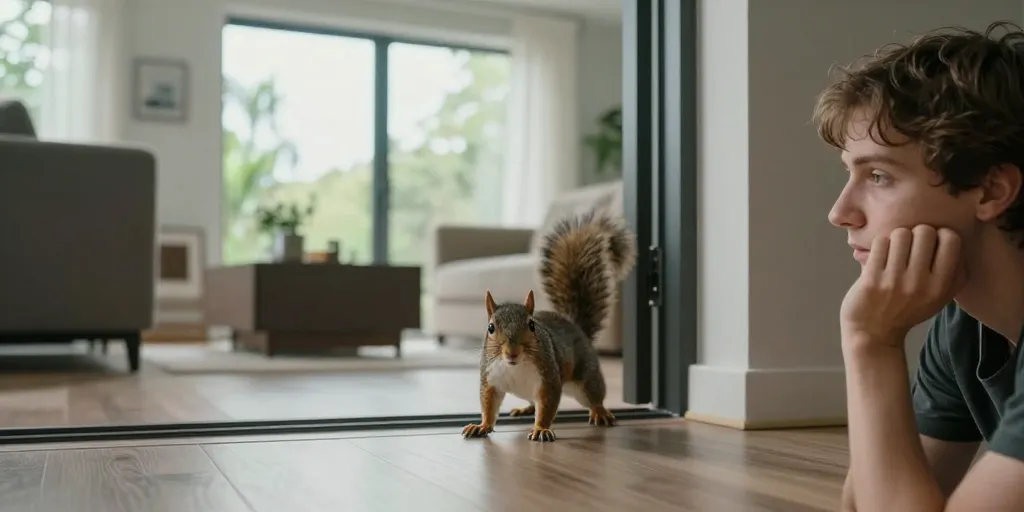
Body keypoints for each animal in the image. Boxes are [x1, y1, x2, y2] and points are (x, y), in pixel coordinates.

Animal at [461, 209, 638, 442]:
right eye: (491, 328)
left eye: (532, 325)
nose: (512, 352)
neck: (514, 366)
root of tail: (576, 328)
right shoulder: (490, 379)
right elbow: (488, 405)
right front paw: (481, 426)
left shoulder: (549, 380)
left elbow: (547, 406)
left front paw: (541, 429)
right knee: (532, 402)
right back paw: (525, 409)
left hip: (586, 376)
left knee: (594, 395)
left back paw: (600, 412)